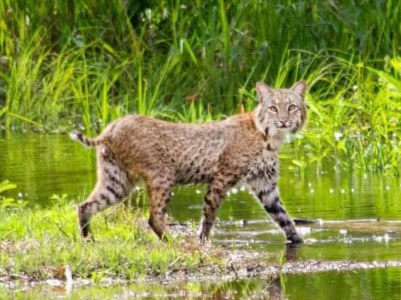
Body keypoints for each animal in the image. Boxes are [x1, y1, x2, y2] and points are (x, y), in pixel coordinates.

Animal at [71, 81, 306, 245]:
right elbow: (209, 216)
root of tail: (111, 127)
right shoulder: (221, 178)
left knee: (85, 206)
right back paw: (173, 244)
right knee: (154, 217)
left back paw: (88, 240)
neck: (270, 137)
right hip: (163, 175)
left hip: (116, 181)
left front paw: (299, 241)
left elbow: (283, 217)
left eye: (292, 107)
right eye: (273, 108)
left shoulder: (264, 184)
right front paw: (203, 243)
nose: (284, 121)